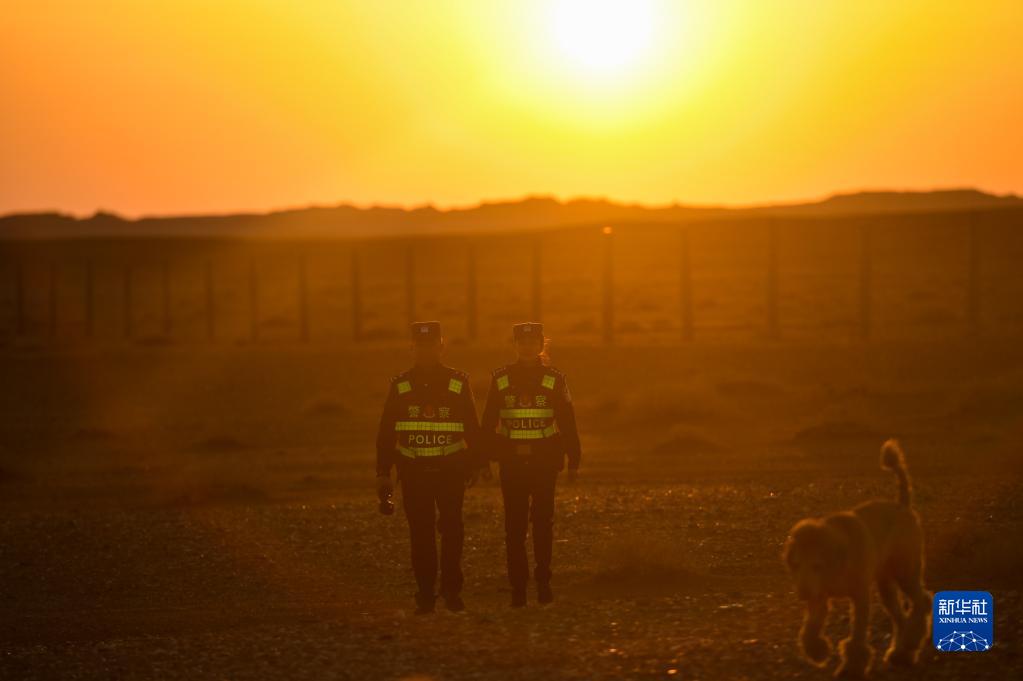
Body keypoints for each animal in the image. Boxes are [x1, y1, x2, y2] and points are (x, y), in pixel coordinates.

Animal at [782, 439, 931, 678]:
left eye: (817, 565)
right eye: (795, 565)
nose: (802, 594)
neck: (838, 559)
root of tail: (902, 505)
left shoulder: (859, 595)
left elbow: (858, 636)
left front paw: (851, 667)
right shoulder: (819, 594)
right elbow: (811, 628)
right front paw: (817, 650)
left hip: (906, 570)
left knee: (921, 602)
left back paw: (911, 642)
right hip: (885, 583)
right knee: (900, 618)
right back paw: (901, 653)